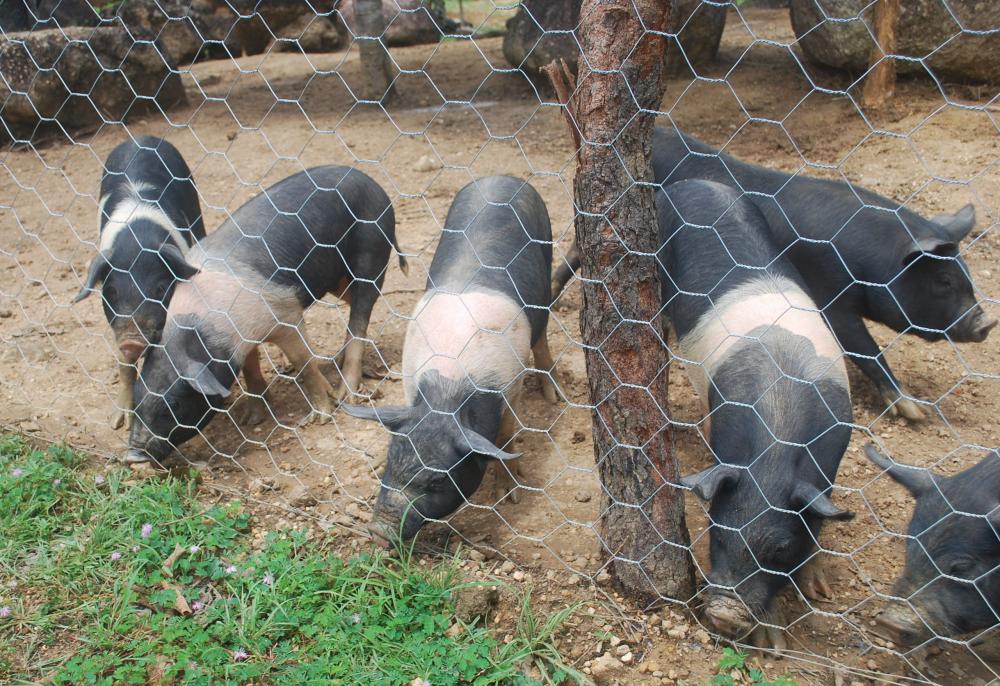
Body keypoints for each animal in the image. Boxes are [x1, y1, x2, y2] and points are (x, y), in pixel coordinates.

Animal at [76, 136, 207, 430]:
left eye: (160, 289)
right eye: (111, 291)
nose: (132, 342)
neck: (137, 241)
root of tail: (142, 138)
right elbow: (124, 366)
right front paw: (119, 422)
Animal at [125, 166, 406, 464]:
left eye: (174, 403)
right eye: (138, 396)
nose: (132, 456)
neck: (204, 327)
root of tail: (371, 181)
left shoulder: (286, 311)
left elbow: (303, 361)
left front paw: (321, 416)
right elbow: (250, 367)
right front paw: (251, 419)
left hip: (372, 249)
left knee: (361, 313)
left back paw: (347, 395)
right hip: (338, 280)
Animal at [340, 176, 560, 544]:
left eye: (438, 480)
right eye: (390, 459)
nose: (379, 531)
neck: (449, 384)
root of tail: (501, 177)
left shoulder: (510, 384)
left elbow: (505, 438)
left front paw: (509, 495)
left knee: (542, 337)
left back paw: (554, 397)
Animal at [664, 179, 860, 652]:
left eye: (780, 552)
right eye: (716, 534)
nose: (723, 618)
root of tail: (690, 183)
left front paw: (818, 592)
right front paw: (774, 643)